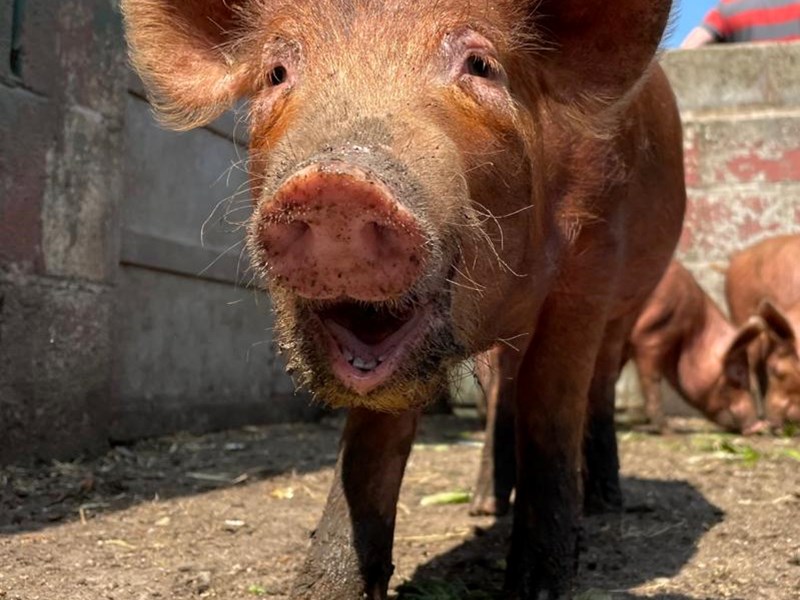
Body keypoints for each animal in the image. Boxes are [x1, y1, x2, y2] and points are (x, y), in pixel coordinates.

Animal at [121, 1, 684, 598]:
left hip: (635, 299)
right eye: (276, 72)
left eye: (481, 65)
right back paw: (484, 508)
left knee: (598, 381)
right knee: (503, 392)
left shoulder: (595, 252)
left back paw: (605, 502)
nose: (339, 185)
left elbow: (553, 408)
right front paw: (322, 590)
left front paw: (538, 589)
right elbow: (371, 443)